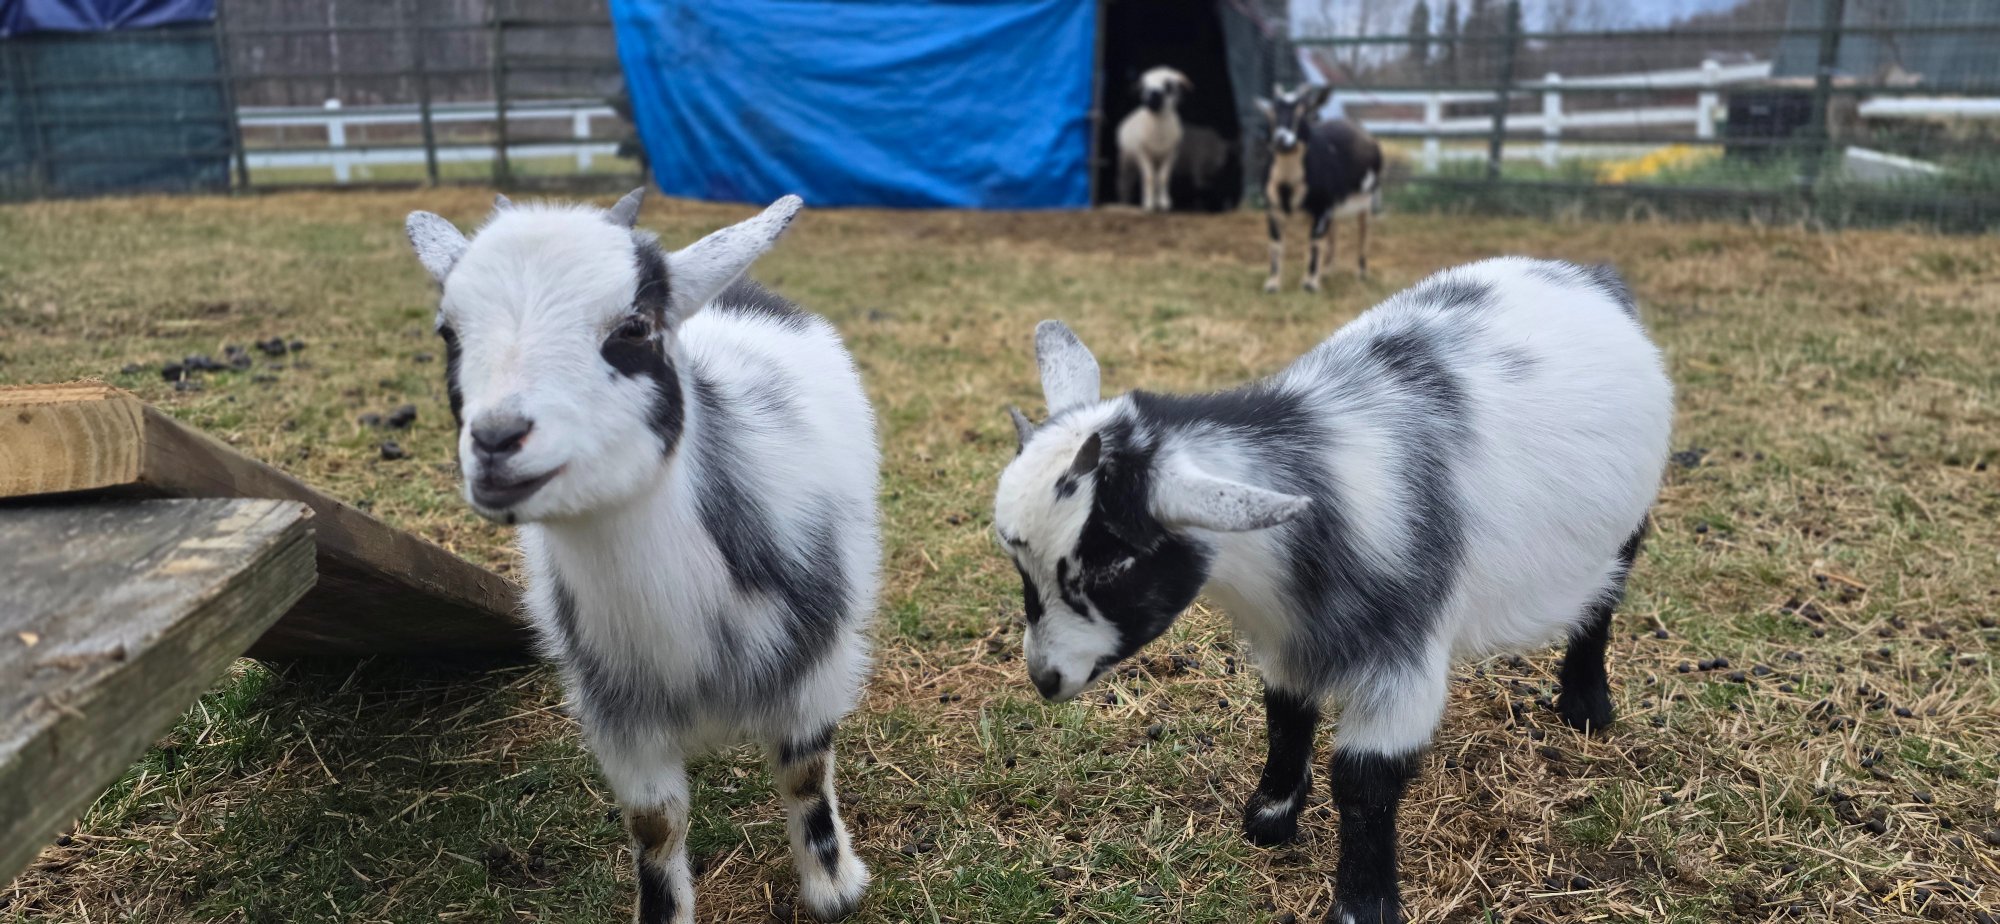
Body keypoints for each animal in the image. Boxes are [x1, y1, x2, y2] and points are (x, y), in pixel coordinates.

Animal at [405, 189, 877, 923]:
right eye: (448, 332)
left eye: (632, 328)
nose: (496, 441)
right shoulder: (619, 710)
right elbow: (656, 823)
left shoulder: (815, 665)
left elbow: (804, 774)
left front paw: (834, 889)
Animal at [994, 258, 1671, 924]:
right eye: (1021, 566)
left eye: (1112, 566)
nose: (1045, 678)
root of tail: (1587, 273)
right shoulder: (1288, 634)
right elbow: (1286, 715)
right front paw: (1270, 817)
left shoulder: (1406, 652)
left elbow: (1365, 778)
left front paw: (1363, 905)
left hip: (1626, 527)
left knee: (1603, 601)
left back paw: (1585, 703)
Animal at [1116, 66, 1192, 212]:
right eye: (1144, 86)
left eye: (1169, 85)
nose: (1152, 96)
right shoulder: (1142, 153)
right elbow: (1149, 177)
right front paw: (1149, 205)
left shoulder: (1171, 154)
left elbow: (1163, 178)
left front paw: (1164, 203)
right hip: (1126, 159)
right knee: (1125, 182)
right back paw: (1125, 203)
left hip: (1155, 160)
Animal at [1258, 83, 1383, 293]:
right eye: (1272, 113)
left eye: (1303, 112)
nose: (1281, 139)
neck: (1287, 185)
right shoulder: (1273, 207)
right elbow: (1276, 242)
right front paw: (1272, 284)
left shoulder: (1322, 207)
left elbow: (1315, 241)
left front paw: (1309, 285)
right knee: (1333, 232)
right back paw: (1327, 270)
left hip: (1368, 197)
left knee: (1364, 231)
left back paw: (1361, 273)